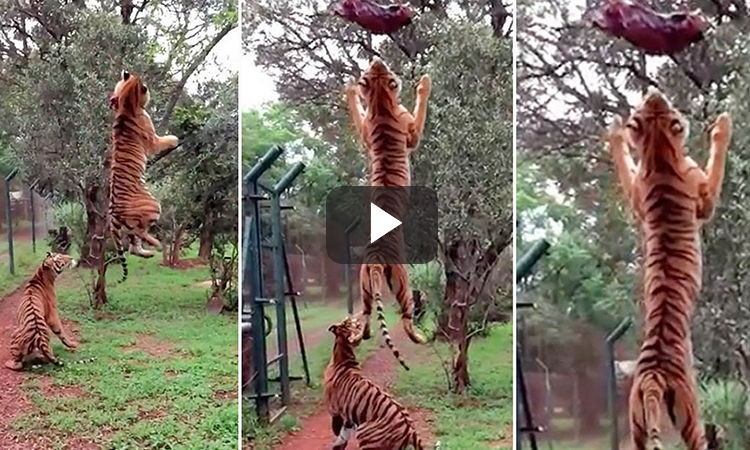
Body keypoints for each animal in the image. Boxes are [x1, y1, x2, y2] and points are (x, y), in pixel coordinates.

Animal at [107, 70, 178, 279]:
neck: (126, 105)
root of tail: (113, 213)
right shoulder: (153, 140)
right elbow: (164, 140)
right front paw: (175, 139)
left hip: (133, 223)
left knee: (133, 246)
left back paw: (148, 253)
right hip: (153, 206)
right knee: (140, 234)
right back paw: (157, 244)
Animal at [324, 316, 424, 450]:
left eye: (351, 323)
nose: (352, 318)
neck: (344, 356)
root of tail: (411, 431)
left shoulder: (333, 408)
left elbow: (337, 429)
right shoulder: (348, 417)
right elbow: (343, 435)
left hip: (364, 434)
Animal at [344, 57, 431, 360]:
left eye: (373, 70)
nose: (377, 58)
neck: (381, 101)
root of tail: (375, 261)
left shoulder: (364, 132)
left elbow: (356, 113)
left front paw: (348, 90)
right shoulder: (412, 133)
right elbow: (420, 109)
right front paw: (424, 83)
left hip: (363, 284)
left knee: (367, 313)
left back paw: (362, 334)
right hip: (403, 281)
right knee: (406, 317)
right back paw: (421, 337)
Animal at [605, 87, 731, 450]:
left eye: (650, 104)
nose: (653, 90)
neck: (658, 151)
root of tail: (650, 376)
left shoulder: (636, 198)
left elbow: (625, 167)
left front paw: (615, 134)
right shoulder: (706, 200)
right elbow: (717, 163)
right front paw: (723, 125)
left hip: (636, 421)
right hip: (690, 412)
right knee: (699, 439)